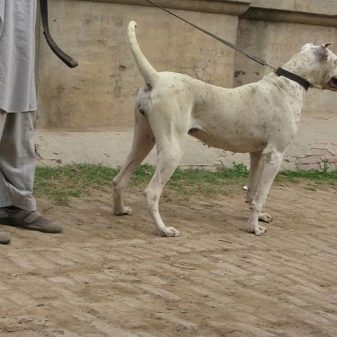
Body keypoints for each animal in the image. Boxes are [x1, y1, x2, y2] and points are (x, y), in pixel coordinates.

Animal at [112, 21, 336, 236]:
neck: (289, 83)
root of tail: (156, 78)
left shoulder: (257, 154)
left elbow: (253, 191)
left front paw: (257, 217)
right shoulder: (275, 155)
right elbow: (262, 194)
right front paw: (254, 228)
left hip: (144, 140)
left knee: (119, 179)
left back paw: (120, 210)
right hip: (172, 150)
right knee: (151, 193)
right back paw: (164, 230)